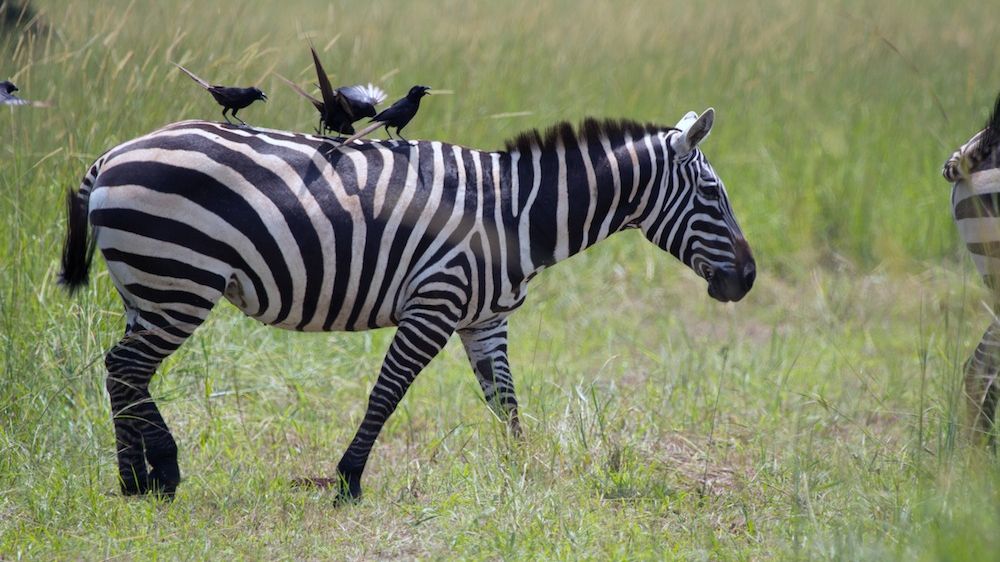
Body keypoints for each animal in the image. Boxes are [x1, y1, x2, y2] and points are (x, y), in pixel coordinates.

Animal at [59, 108, 756, 501]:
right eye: (713, 194)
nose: (747, 280)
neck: (515, 215)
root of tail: (111, 156)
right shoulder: (435, 304)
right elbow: (387, 394)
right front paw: (347, 480)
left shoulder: (485, 318)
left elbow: (505, 403)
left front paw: (525, 474)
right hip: (179, 280)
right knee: (126, 368)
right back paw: (154, 474)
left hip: (150, 287)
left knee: (123, 371)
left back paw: (139, 478)